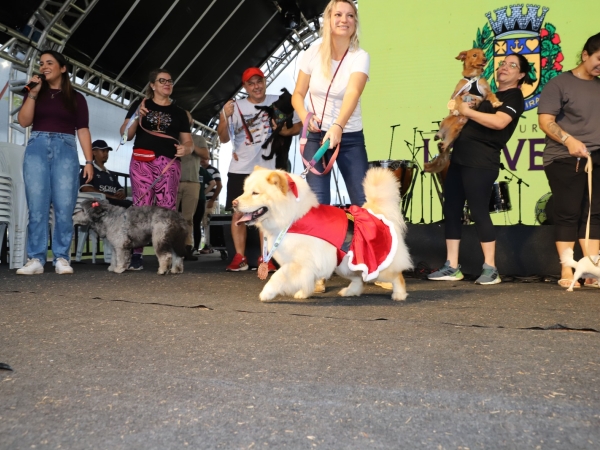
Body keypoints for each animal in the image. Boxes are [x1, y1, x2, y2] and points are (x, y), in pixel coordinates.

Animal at [234, 166, 413, 302]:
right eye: (244, 191)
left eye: (255, 193)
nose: (233, 203)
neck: (293, 218)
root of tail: (375, 212)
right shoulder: (310, 265)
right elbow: (307, 280)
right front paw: (304, 293)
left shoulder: (300, 263)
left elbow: (278, 277)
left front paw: (267, 293)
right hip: (345, 265)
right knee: (359, 279)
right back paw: (350, 292)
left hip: (377, 268)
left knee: (397, 276)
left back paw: (399, 294)